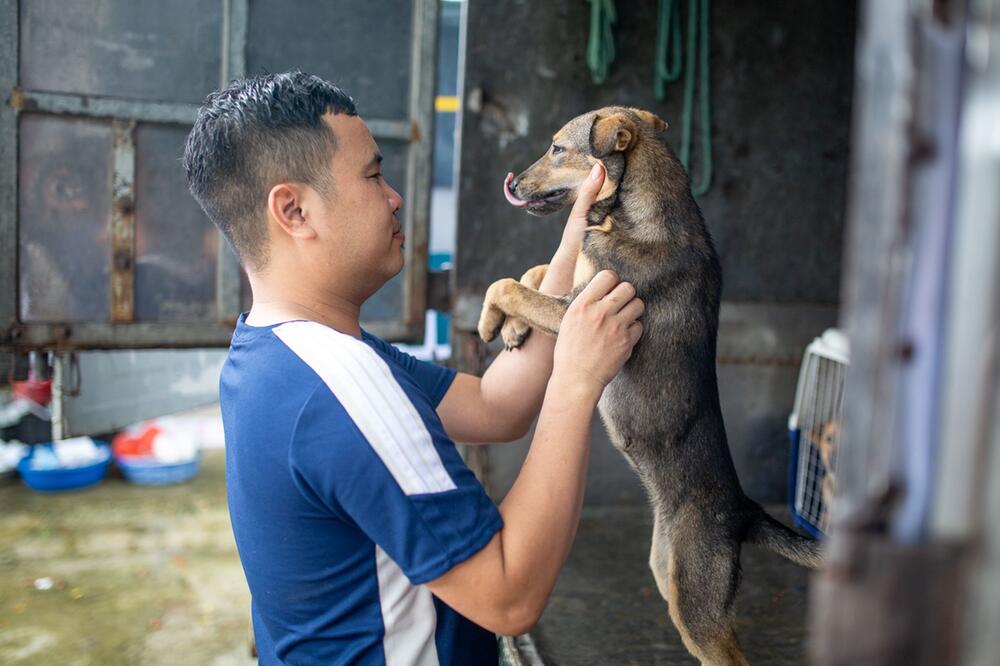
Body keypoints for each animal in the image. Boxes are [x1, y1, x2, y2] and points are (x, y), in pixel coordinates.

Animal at [480, 106, 824, 660]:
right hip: (670, 575)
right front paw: (507, 327)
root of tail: (742, 510)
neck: (636, 213)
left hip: (697, 602)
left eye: (556, 149)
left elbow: (508, 283)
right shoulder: (578, 284)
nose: (511, 183)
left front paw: (498, 319)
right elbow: (532, 272)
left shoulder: (579, 308)